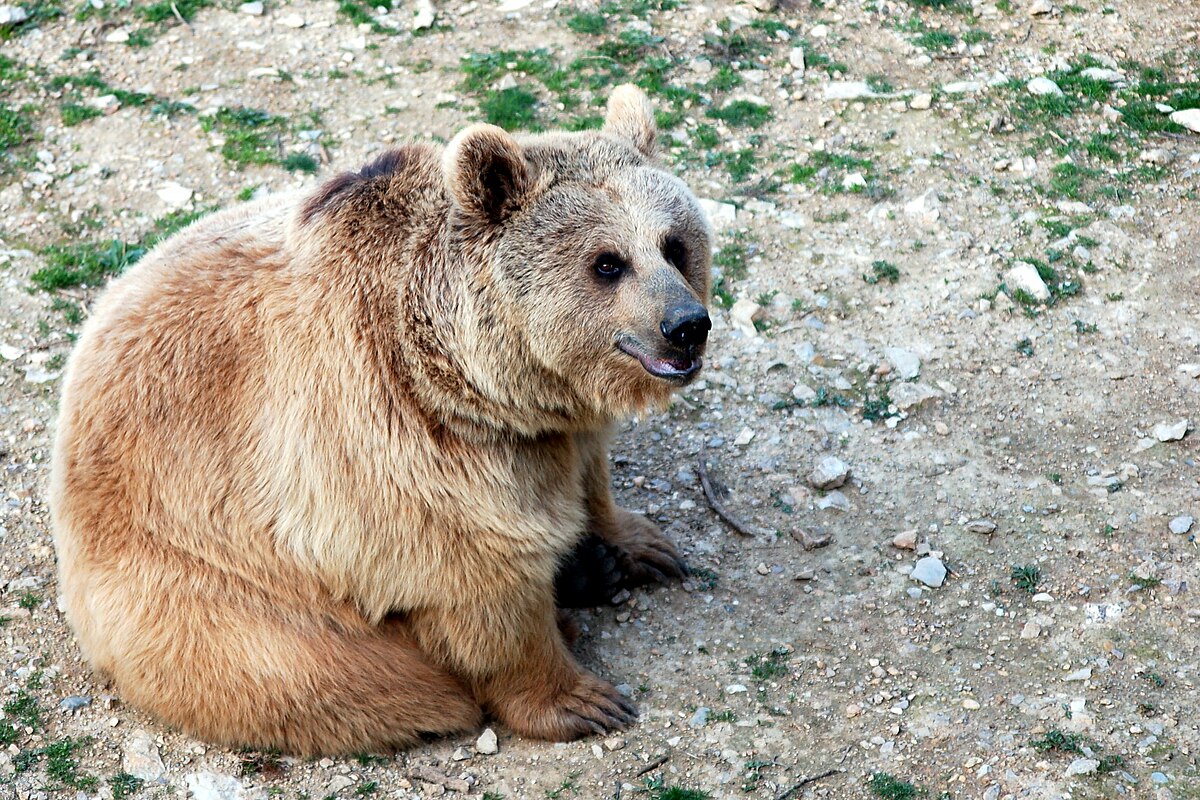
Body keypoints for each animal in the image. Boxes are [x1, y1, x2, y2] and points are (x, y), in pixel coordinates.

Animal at [51, 86, 710, 758]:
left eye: (674, 245)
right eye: (607, 263)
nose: (686, 325)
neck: (476, 380)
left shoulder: (550, 424)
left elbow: (587, 472)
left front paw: (640, 544)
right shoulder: (397, 454)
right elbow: (481, 580)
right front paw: (582, 699)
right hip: (202, 578)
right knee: (333, 675)